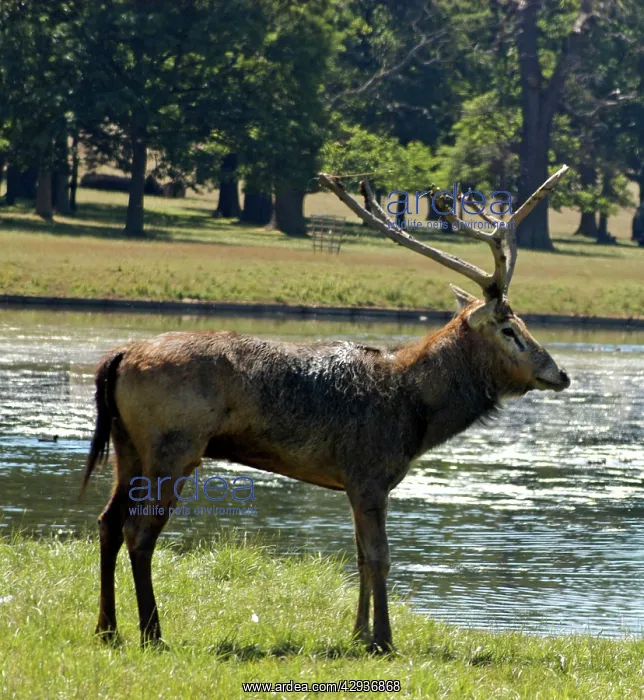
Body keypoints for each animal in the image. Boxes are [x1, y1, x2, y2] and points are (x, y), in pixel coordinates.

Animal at [82, 165, 571, 653]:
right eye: (510, 329)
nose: (560, 373)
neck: (416, 414)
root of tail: (120, 356)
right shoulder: (368, 472)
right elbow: (380, 557)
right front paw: (384, 641)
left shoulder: (360, 483)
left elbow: (359, 556)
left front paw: (358, 635)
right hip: (175, 446)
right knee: (140, 532)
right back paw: (152, 633)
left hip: (128, 445)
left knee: (108, 522)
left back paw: (107, 628)